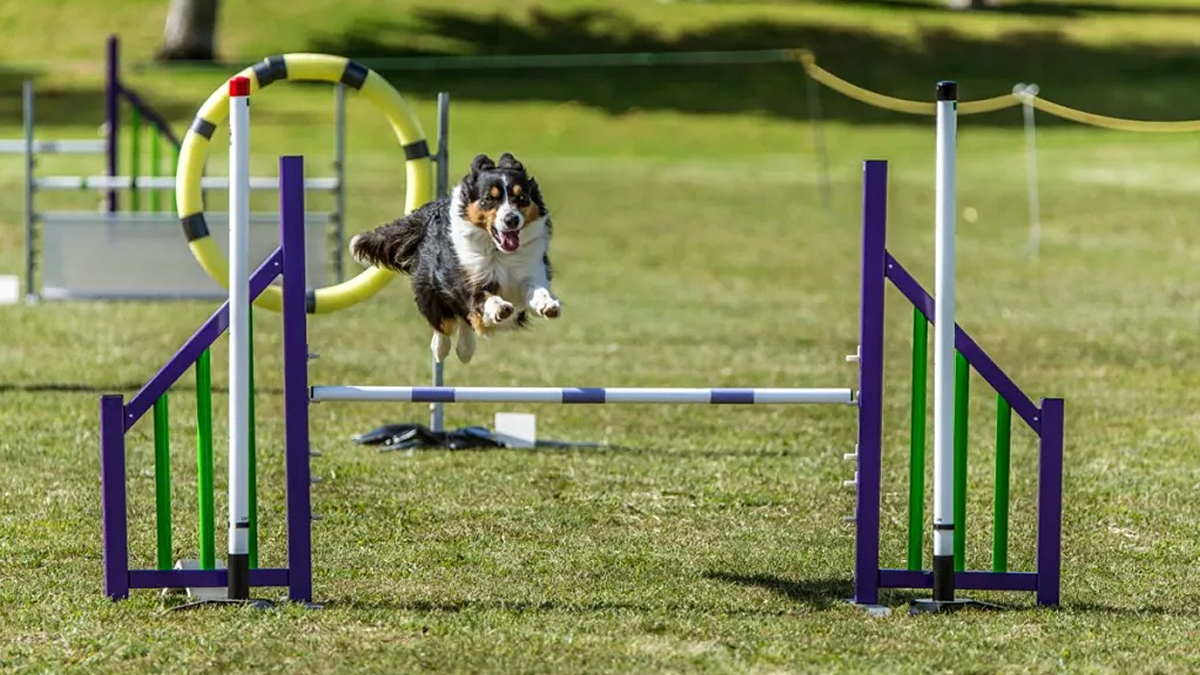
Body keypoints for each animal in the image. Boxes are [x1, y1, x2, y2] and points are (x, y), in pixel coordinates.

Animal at [350, 152, 559, 362]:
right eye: (489, 198)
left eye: (522, 197)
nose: (512, 220)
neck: (498, 253)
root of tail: (428, 212)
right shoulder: (467, 281)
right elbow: (483, 298)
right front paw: (500, 308)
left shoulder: (530, 272)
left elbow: (538, 290)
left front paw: (548, 305)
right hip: (430, 288)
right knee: (444, 323)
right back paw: (441, 349)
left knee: (464, 321)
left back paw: (465, 350)